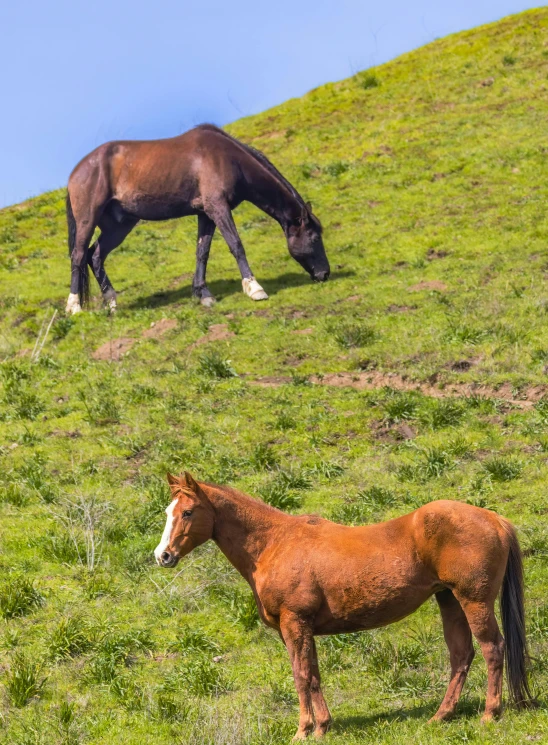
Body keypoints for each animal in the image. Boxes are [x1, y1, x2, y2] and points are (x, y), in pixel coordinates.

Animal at [64, 123, 330, 314]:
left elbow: (202, 252)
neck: (228, 158)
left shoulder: (206, 214)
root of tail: (76, 172)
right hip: (88, 219)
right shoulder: (218, 208)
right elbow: (236, 245)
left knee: (95, 256)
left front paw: (203, 294)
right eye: (315, 238)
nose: (325, 274)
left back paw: (111, 302)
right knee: (79, 255)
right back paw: (74, 306)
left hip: (120, 225)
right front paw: (255, 288)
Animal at [155, 470, 536, 740]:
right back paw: (441, 716)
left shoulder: (294, 623)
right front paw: (323, 726)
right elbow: (314, 675)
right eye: (167, 511)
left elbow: (301, 675)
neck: (273, 543)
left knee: (491, 648)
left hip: (474, 602)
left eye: (187, 512)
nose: (163, 556)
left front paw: (303, 730)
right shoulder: (302, 629)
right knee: (461, 655)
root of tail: (494, 519)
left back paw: (490, 714)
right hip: (449, 600)